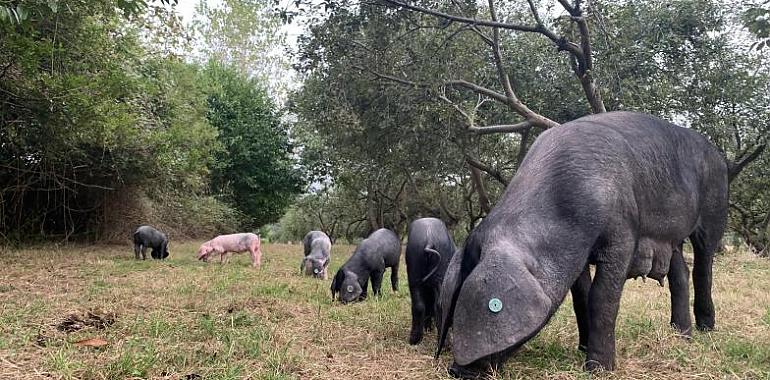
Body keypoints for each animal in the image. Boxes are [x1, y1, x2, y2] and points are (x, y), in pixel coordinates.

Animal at [438, 111, 728, 378]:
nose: (457, 371)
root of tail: (717, 153)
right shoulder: (576, 255)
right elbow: (581, 297)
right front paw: (582, 347)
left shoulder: (622, 234)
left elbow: (602, 297)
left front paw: (599, 369)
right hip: (672, 239)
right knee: (680, 274)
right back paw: (681, 334)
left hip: (714, 210)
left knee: (704, 265)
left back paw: (706, 329)